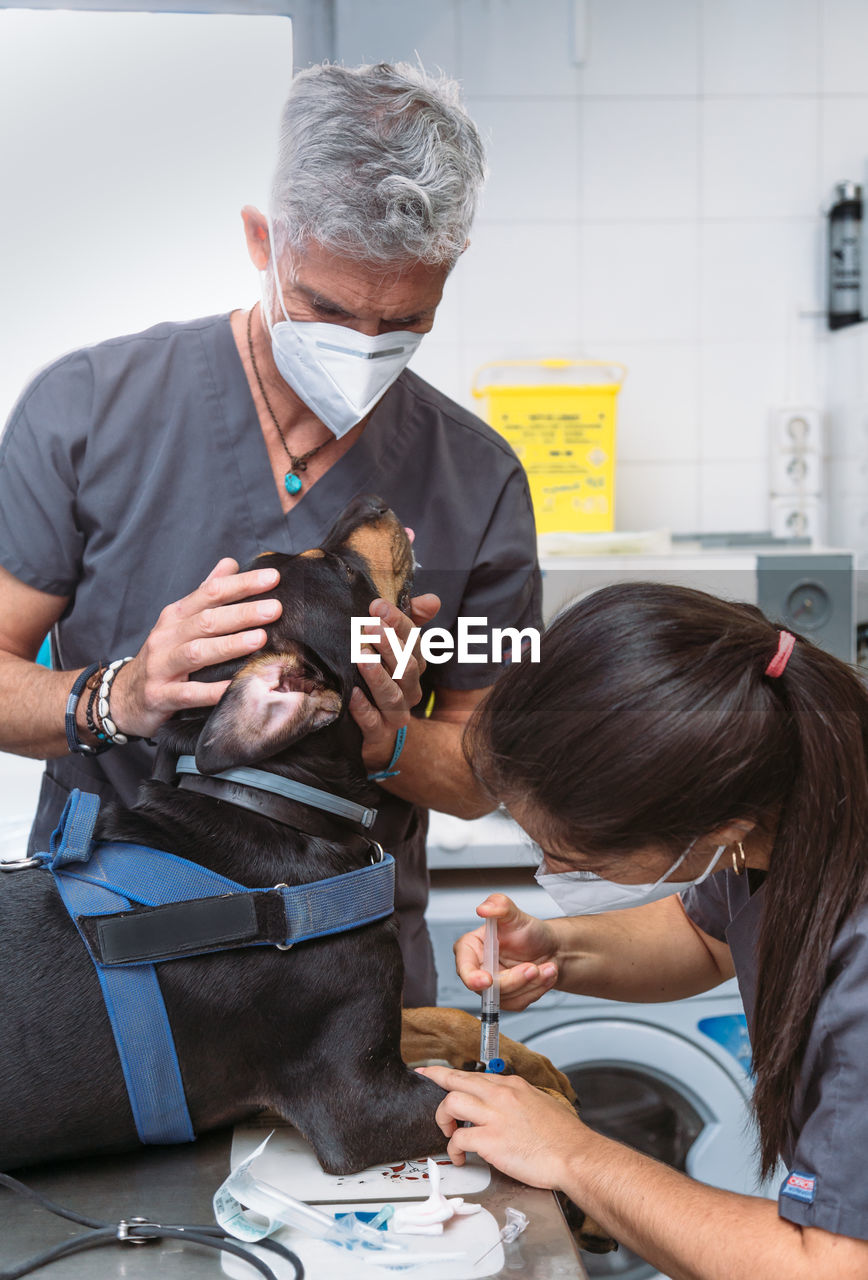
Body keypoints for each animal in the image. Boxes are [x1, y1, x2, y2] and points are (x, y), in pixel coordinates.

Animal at [0, 494, 619, 1254]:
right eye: (339, 571)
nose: (370, 501)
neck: (275, 804)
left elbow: (444, 1020)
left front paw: (539, 1068)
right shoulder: (357, 1103)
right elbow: (483, 1100)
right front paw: (575, 1179)